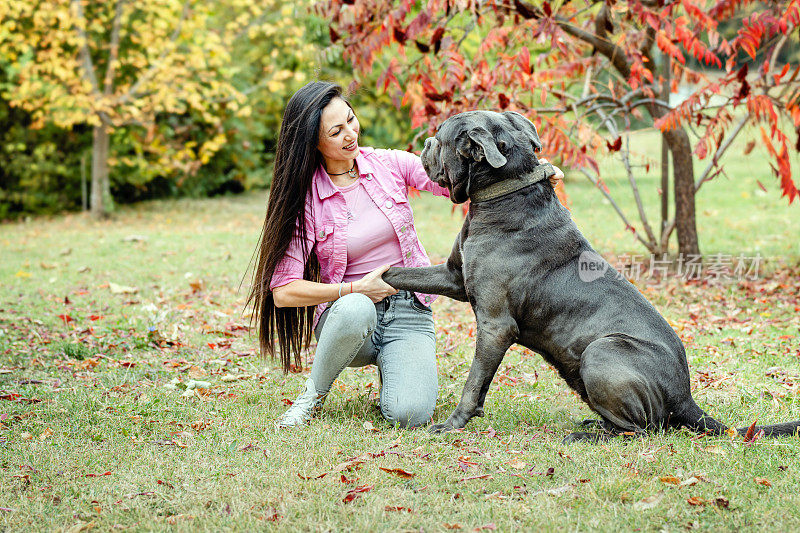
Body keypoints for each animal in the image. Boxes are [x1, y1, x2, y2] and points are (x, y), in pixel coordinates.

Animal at [382, 109, 800, 440]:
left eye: (442, 136)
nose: (425, 143)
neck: (505, 193)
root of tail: (686, 397)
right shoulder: (453, 276)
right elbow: (397, 273)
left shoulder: (495, 325)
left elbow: (473, 383)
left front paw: (452, 425)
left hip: (602, 352)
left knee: (645, 429)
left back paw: (587, 435)